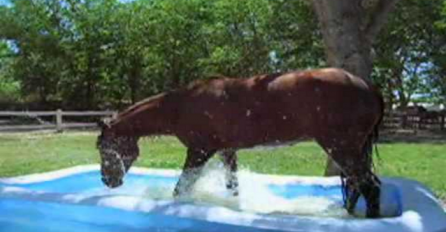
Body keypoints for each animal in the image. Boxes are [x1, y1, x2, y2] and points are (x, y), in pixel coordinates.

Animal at [96, 67, 384, 218]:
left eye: (104, 148)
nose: (107, 180)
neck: (180, 105)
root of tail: (367, 86)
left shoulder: (199, 151)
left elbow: (181, 188)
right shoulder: (226, 151)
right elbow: (233, 186)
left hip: (340, 147)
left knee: (369, 187)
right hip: (351, 149)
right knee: (358, 186)